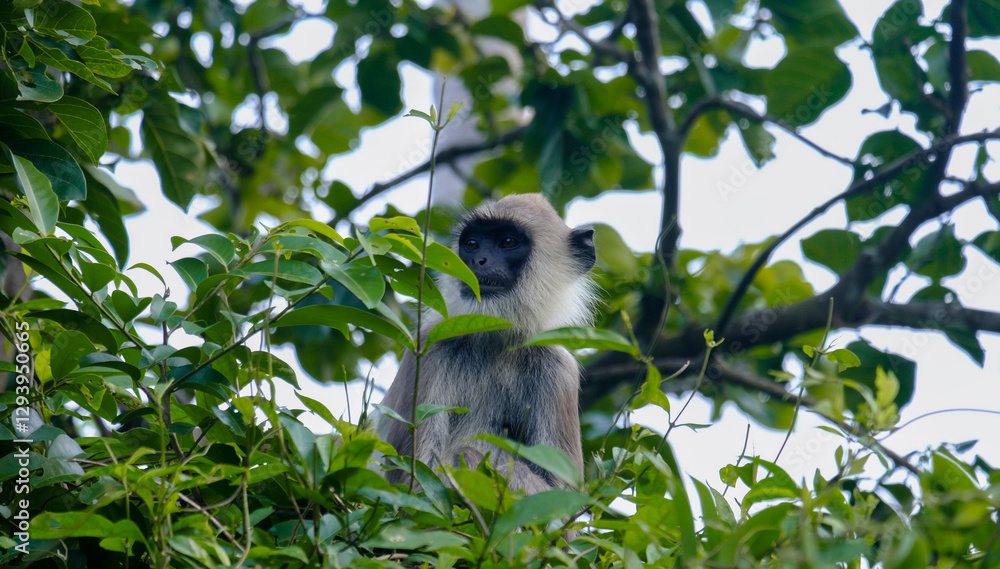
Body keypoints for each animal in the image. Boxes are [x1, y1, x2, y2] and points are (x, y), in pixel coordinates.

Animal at [375, 193, 598, 494]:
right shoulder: (429, 346)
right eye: (471, 244)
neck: (496, 341)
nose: (476, 261)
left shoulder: (558, 367)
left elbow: (563, 496)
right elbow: (411, 484)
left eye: (508, 242)